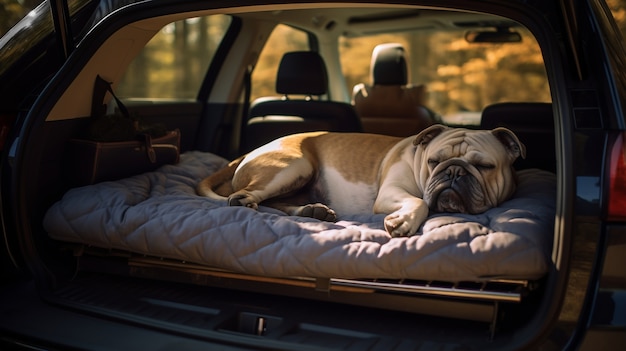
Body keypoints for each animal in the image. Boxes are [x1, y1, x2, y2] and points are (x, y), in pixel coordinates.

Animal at [197, 125, 524, 238]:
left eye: (484, 166)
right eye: (434, 161)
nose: (454, 171)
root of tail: (250, 152)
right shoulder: (392, 192)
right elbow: (418, 201)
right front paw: (404, 221)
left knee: (278, 202)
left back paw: (312, 211)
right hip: (294, 166)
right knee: (245, 195)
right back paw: (247, 202)